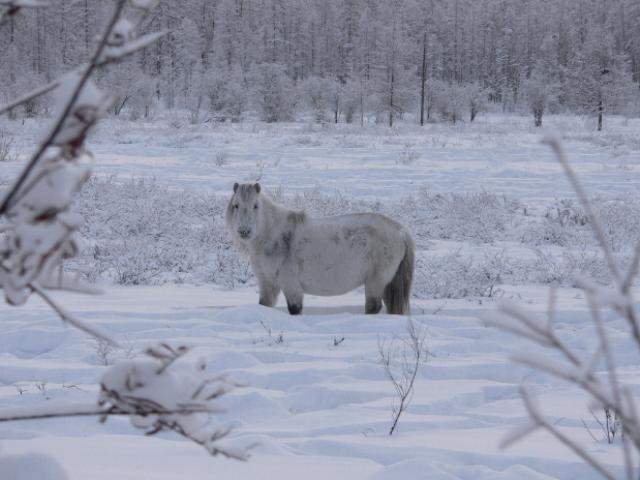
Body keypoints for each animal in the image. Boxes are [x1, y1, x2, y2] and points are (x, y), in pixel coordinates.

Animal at [225, 183, 416, 316]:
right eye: (236, 205)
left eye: (256, 205)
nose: (244, 231)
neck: (274, 237)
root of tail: (400, 230)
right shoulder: (268, 284)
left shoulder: (291, 286)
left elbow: (295, 310)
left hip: (376, 281)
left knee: (373, 307)